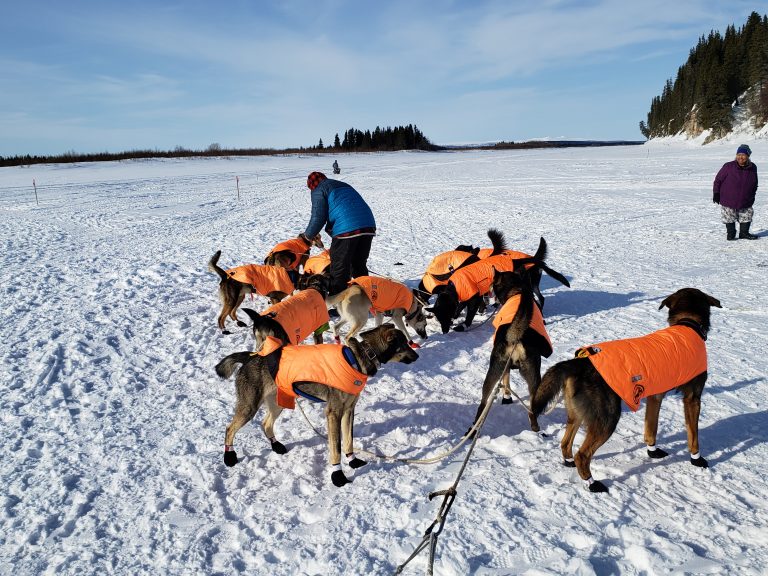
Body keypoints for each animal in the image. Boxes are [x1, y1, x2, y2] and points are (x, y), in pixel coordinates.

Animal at [216, 324, 420, 486]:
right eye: (404, 344)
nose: (417, 355)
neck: (358, 358)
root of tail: (251, 357)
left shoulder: (349, 411)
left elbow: (348, 441)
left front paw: (353, 462)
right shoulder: (333, 413)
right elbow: (336, 448)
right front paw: (338, 476)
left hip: (277, 403)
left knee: (265, 423)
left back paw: (276, 446)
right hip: (249, 407)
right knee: (229, 428)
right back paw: (229, 457)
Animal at [468, 268, 552, 434]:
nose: (487, 291)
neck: (516, 290)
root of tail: (516, 337)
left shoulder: (504, 367)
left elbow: (506, 381)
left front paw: (506, 396)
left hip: (495, 369)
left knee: (483, 403)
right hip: (532, 374)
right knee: (531, 409)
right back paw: (535, 427)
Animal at [532, 286, 724, 490]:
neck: (687, 324)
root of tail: (577, 363)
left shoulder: (655, 397)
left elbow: (651, 428)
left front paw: (652, 450)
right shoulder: (692, 398)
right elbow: (693, 435)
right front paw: (697, 458)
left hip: (577, 413)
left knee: (565, 443)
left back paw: (569, 462)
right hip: (607, 418)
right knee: (582, 455)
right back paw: (592, 483)